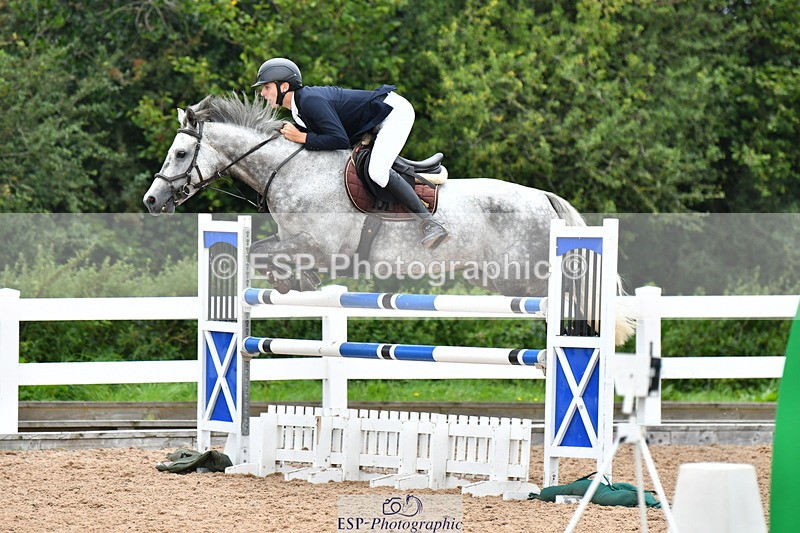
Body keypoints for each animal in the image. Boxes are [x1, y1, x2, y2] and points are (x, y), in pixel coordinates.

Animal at [143, 94, 634, 345]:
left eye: (181, 153)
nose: (151, 200)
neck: (290, 168)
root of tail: (545, 199)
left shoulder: (322, 249)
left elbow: (263, 254)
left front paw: (295, 281)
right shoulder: (297, 243)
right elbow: (258, 252)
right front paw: (292, 284)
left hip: (525, 276)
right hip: (501, 280)